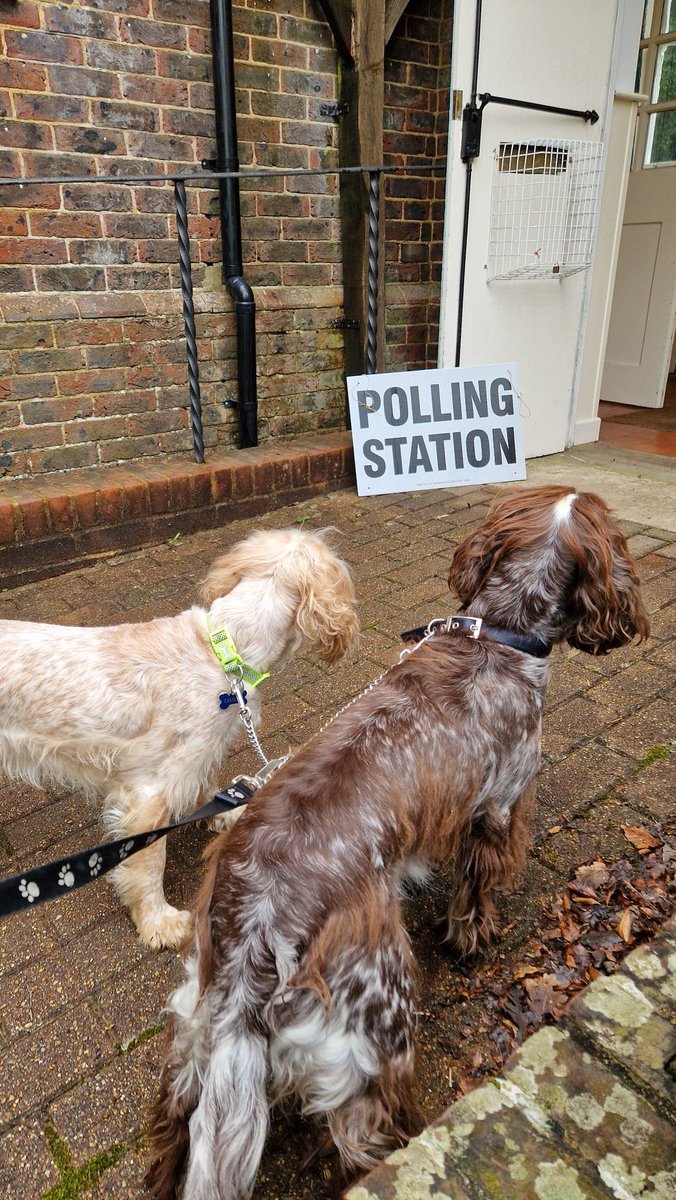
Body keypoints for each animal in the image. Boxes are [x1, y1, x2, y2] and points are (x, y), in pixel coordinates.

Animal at [147, 487, 648, 1200]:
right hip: (375, 1029)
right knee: (363, 1133)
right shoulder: (497, 808)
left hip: (194, 1034)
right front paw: (473, 940)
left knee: (173, 1128)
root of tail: (253, 940)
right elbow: (475, 894)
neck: (494, 634)